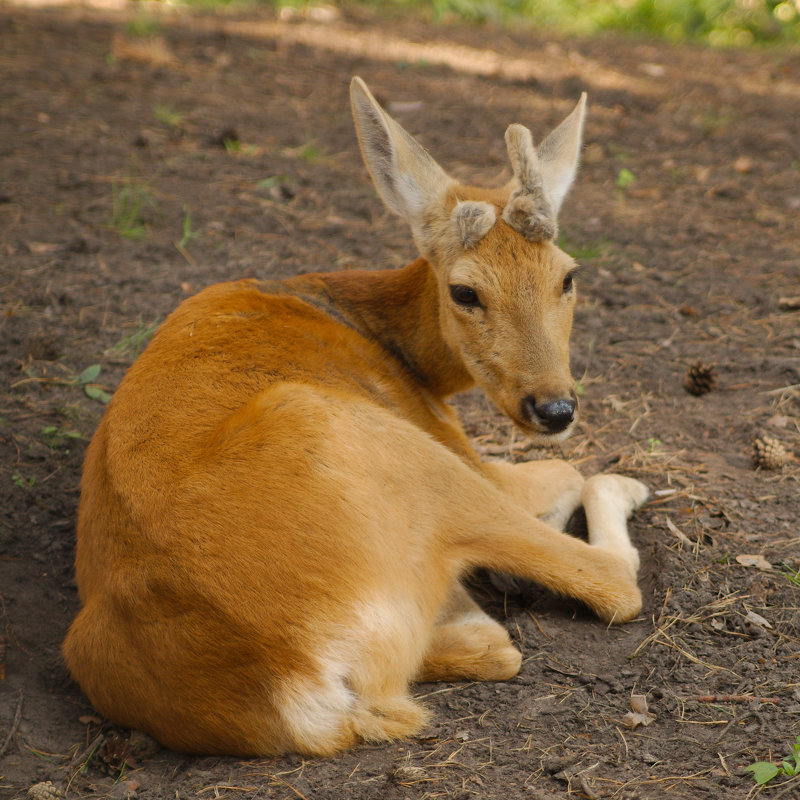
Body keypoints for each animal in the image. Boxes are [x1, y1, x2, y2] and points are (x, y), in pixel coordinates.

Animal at [64, 78, 648, 760]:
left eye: (568, 276)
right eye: (464, 292)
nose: (554, 408)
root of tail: (299, 687)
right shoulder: (455, 443)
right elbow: (563, 474)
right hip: (391, 448)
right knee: (605, 584)